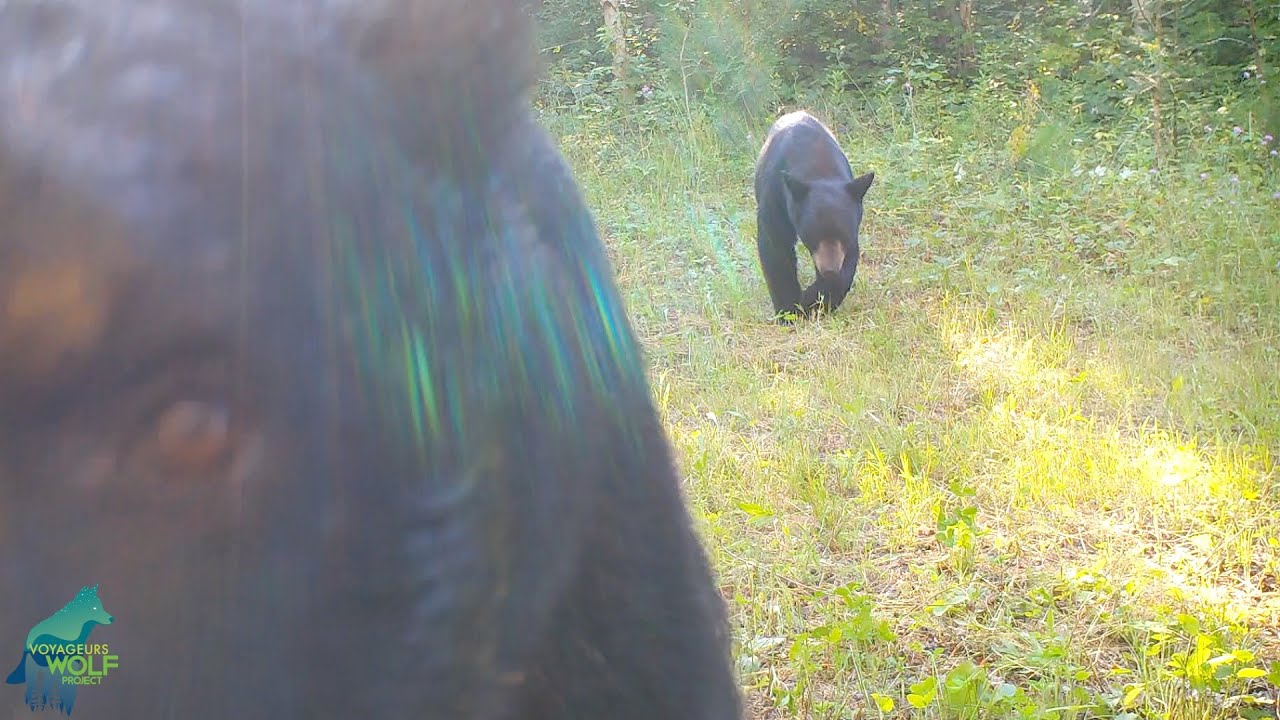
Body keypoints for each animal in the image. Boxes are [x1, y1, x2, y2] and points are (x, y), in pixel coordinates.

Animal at [754, 110, 875, 322]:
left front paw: (814, 300)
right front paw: (789, 310)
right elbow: (775, 247)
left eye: (844, 235)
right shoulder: (776, 195)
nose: (829, 270)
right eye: (812, 236)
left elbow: (847, 264)